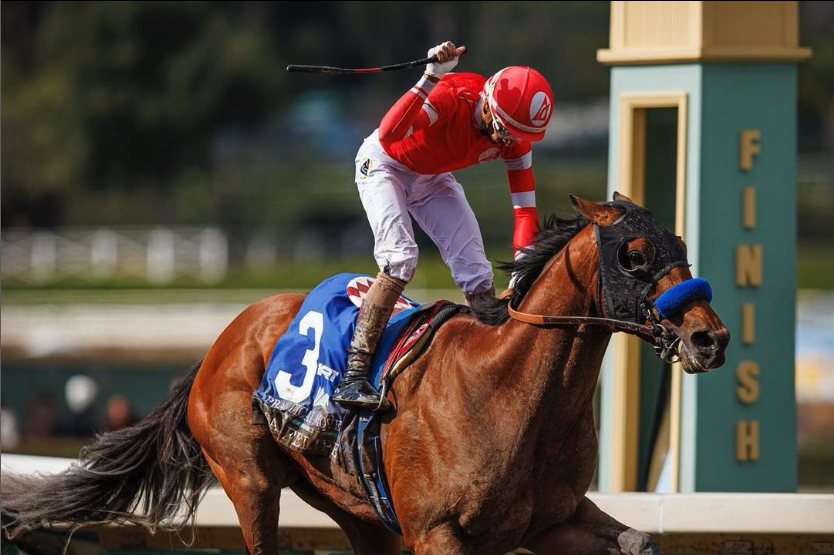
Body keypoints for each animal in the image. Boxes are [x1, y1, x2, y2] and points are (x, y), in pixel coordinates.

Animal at [1, 193, 728, 552]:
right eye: (633, 253)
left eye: (682, 246)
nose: (709, 337)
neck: (510, 391)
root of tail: (216, 347)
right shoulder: (438, 533)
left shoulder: (553, 522)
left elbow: (639, 542)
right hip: (249, 479)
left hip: (352, 506)